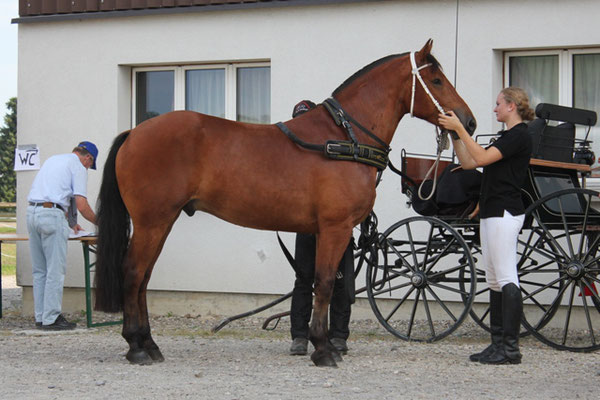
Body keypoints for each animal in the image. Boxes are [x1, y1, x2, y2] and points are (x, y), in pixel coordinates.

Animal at [96, 39, 476, 368]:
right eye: (436, 80)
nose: (468, 122)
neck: (342, 138)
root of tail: (134, 132)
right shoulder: (335, 228)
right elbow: (324, 282)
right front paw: (322, 349)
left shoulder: (327, 231)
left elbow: (325, 283)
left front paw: (323, 344)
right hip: (153, 221)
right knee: (133, 272)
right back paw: (136, 346)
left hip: (163, 222)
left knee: (144, 277)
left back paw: (149, 344)